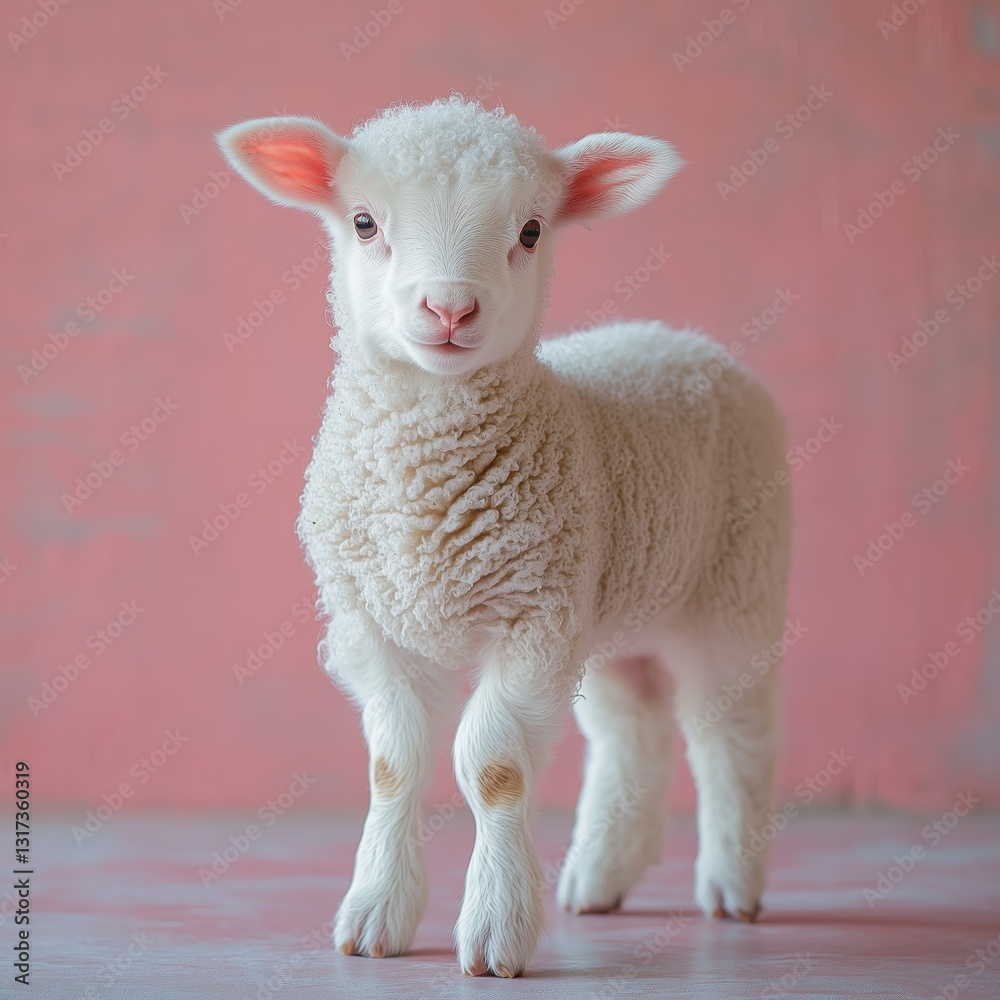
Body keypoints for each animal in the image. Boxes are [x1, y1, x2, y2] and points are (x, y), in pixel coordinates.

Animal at [218, 96, 792, 979]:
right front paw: (376, 915)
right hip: (617, 601)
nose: (449, 309)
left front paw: (494, 931)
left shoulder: (533, 617)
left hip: (738, 585)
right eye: (363, 222)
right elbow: (394, 765)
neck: (423, 492)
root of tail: (679, 337)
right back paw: (600, 876)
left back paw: (732, 883)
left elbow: (491, 768)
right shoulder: (377, 622)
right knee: (634, 728)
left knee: (732, 735)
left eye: (529, 230)